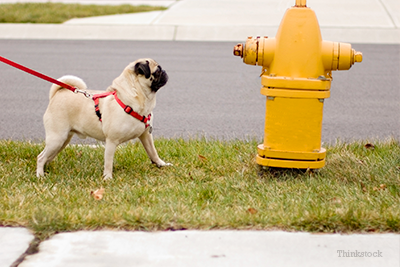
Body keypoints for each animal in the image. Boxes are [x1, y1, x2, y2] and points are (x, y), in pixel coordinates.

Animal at [35, 58, 170, 180]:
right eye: (157, 71)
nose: (164, 71)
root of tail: (57, 94)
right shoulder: (111, 141)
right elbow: (109, 162)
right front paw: (108, 178)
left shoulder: (145, 135)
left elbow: (153, 152)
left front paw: (161, 164)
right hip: (57, 138)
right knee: (40, 157)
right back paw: (40, 175)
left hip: (63, 140)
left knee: (47, 156)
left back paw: (46, 170)